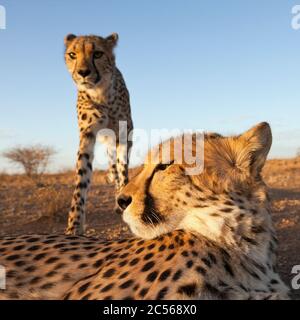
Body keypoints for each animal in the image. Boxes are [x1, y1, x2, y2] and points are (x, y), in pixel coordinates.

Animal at [63, 33, 133, 236]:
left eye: (98, 54)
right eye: (72, 54)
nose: (83, 72)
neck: (100, 92)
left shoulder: (123, 133)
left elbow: (123, 168)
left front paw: (123, 198)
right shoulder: (88, 134)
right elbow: (82, 177)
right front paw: (74, 225)